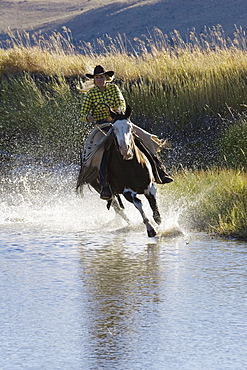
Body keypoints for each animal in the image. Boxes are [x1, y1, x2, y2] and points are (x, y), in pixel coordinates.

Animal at [77, 105, 162, 237]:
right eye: (114, 128)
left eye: (130, 126)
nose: (125, 150)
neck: (132, 166)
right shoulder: (127, 191)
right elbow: (138, 203)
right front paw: (150, 229)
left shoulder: (149, 186)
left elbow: (154, 207)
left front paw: (160, 222)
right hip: (102, 190)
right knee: (117, 207)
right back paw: (128, 223)